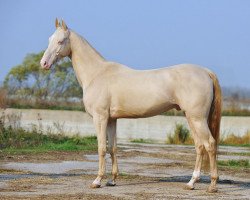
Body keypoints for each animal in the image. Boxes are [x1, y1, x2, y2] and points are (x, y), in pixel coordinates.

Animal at [41, 18, 223, 192]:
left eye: (60, 41)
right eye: (49, 39)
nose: (44, 63)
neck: (96, 74)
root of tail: (205, 72)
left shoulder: (100, 118)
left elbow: (101, 148)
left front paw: (97, 181)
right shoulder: (111, 119)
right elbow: (113, 148)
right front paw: (112, 180)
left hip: (197, 119)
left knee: (210, 144)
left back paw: (212, 185)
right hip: (192, 118)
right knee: (200, 146)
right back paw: (191, 183)